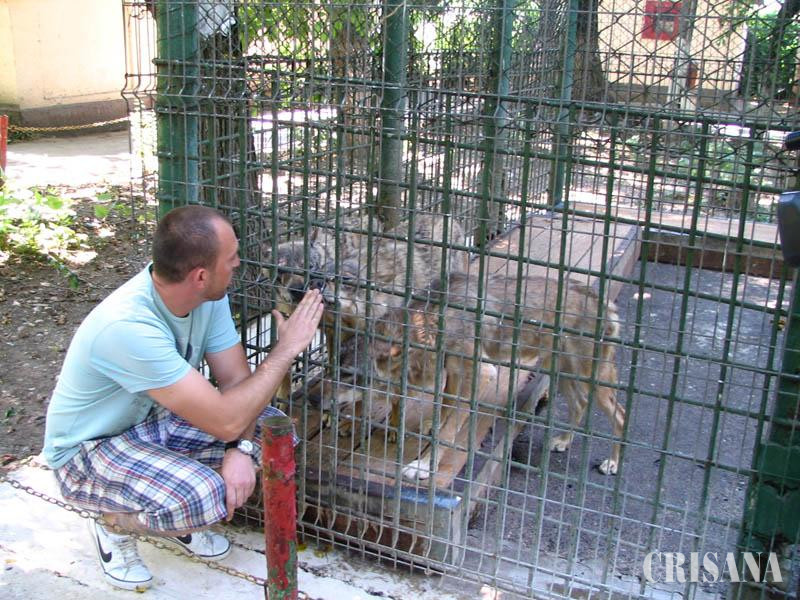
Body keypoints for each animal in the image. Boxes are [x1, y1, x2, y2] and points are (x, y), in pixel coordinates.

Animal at [367, 272, 625, 480]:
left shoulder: (479, 375)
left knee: (620, 416)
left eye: (379, 382)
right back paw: (563, 441)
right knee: (580, 404)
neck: (432, 322)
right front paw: (434, 428)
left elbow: (448, 431)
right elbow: (446, 410)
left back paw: (613, 463)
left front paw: (423, 466)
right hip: (563, 374)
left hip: (593, 380)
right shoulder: (455, 374)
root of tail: (606, 305)